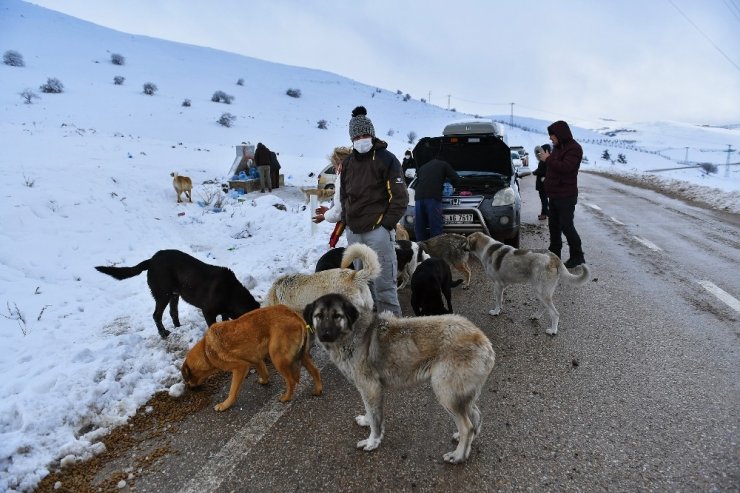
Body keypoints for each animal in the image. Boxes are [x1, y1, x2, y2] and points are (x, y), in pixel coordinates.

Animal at [94, 250, 260, 338]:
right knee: (156, 315)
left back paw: (179, 327)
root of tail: (151, 261)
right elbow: (213, 327)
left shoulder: (224, 312)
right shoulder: (208, 311)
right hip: (163, 294)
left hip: (174, 295)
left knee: (173, 312)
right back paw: (163, 333)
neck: (230, 292)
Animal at [181, 306, 322, 410]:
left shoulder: (240, 368)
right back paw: (318, 389)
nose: (189, 389)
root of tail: (295, 315)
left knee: (291, 381)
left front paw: (225, 405)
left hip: (277, 358)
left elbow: (232, 391)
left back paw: (286, 398)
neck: (206, 349)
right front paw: (264, 381)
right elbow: (264, 372)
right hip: (301, 355)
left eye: (187, 379)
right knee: (315, 370)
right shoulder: (256, 359)